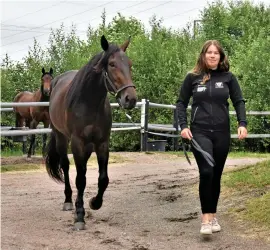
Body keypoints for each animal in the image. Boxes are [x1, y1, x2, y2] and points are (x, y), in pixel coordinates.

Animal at [45, 35, 137, 230]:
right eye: (112, 64)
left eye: (130, 64)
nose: (130, 99)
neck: (89, 103)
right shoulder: (77, 143)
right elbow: (80, 179)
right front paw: (80, 216)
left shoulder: (102, 143)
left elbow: (103, 179)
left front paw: (95, 202)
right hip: (62, 138)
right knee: (66, 166)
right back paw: (68, 201)